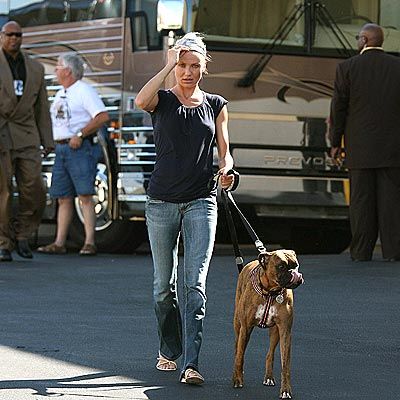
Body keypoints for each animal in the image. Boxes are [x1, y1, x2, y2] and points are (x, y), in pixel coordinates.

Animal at [231, 250, 304, 396]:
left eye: (296, 265)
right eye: (281, 266)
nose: (294, 273)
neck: (271, 292)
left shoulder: (285, 332)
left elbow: (285, 365)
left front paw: (285, 390)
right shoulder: (245, 328)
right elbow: (240, 355)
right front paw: (238, 379)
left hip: (275, 332)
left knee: (270, 354)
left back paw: (269, 377)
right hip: (238, 327)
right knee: (237, 350)